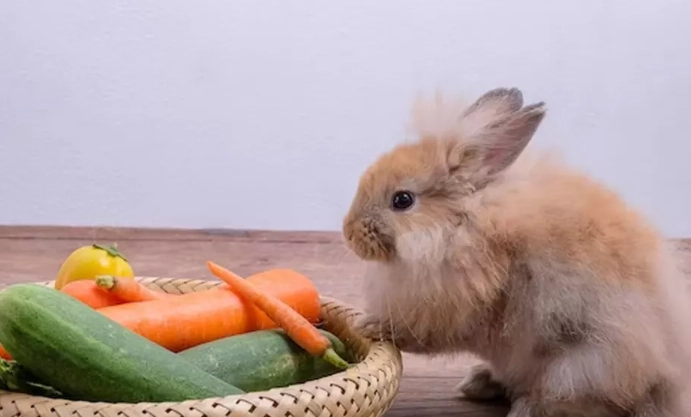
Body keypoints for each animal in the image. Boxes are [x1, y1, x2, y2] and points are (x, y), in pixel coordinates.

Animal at [341, 87, 691, 417]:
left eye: (402, 200)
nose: (348, 232)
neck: (459, 225)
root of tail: (664, 385)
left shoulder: (449, 312)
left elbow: (414, 334)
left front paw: (368, 325)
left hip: (579, 369)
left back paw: (521, 407)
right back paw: (476, 382)